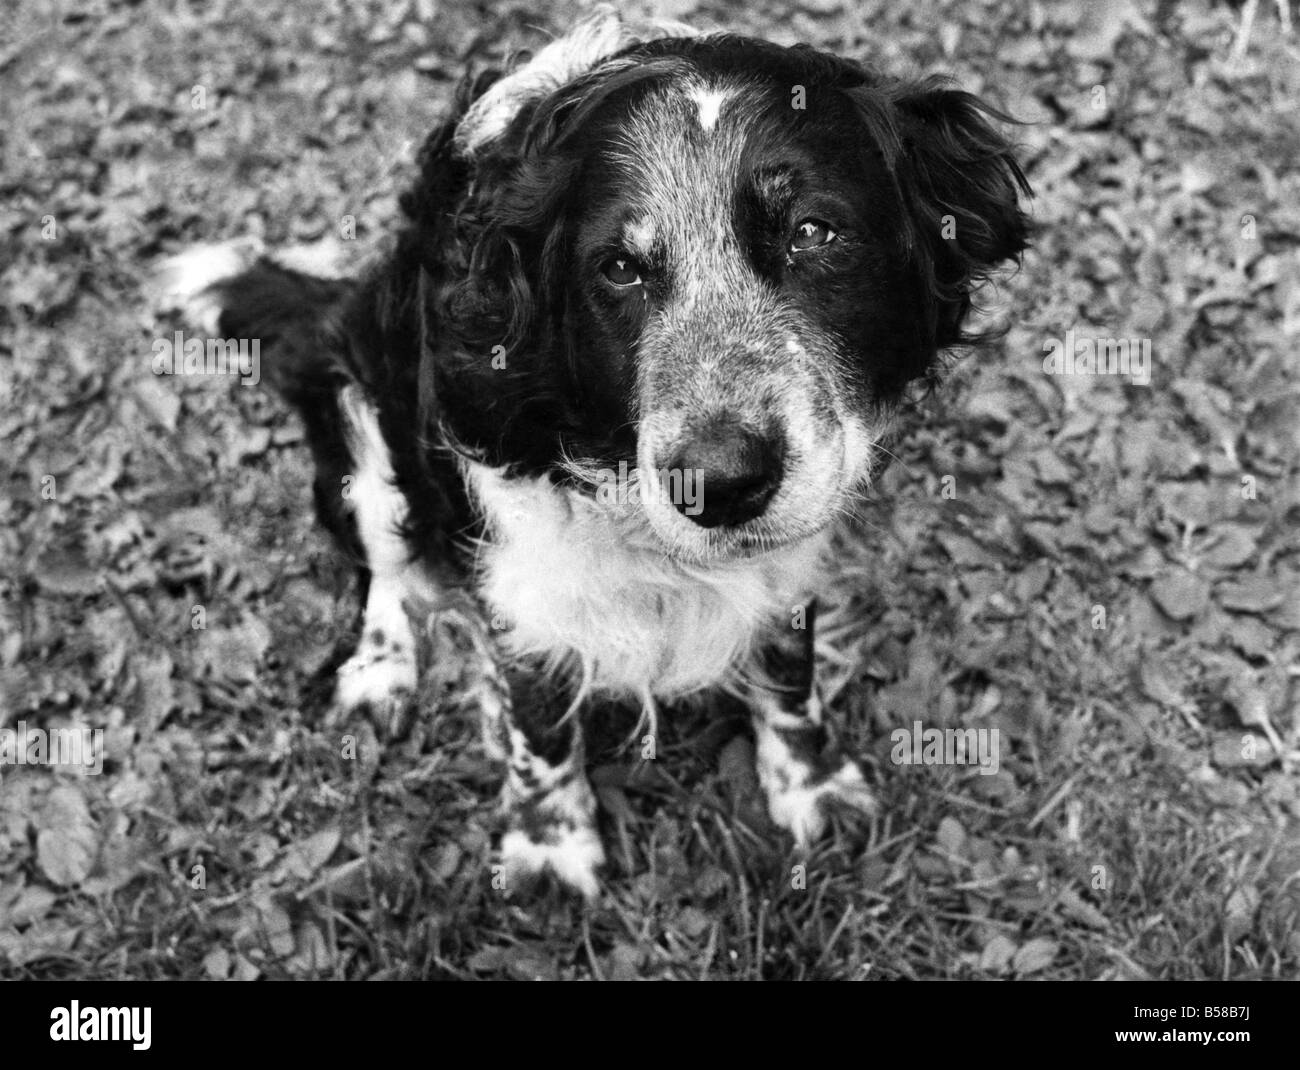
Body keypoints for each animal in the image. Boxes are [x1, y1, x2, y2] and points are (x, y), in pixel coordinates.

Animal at [157, 8, 1029, 894]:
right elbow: (537, 719)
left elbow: (790, 671)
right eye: (617, 269)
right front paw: (549, 848)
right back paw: (380, 669)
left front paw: (811, 787)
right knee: (386, 566)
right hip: (364, 426)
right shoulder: (517, 570)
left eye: (814, 232)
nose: (718, 482)